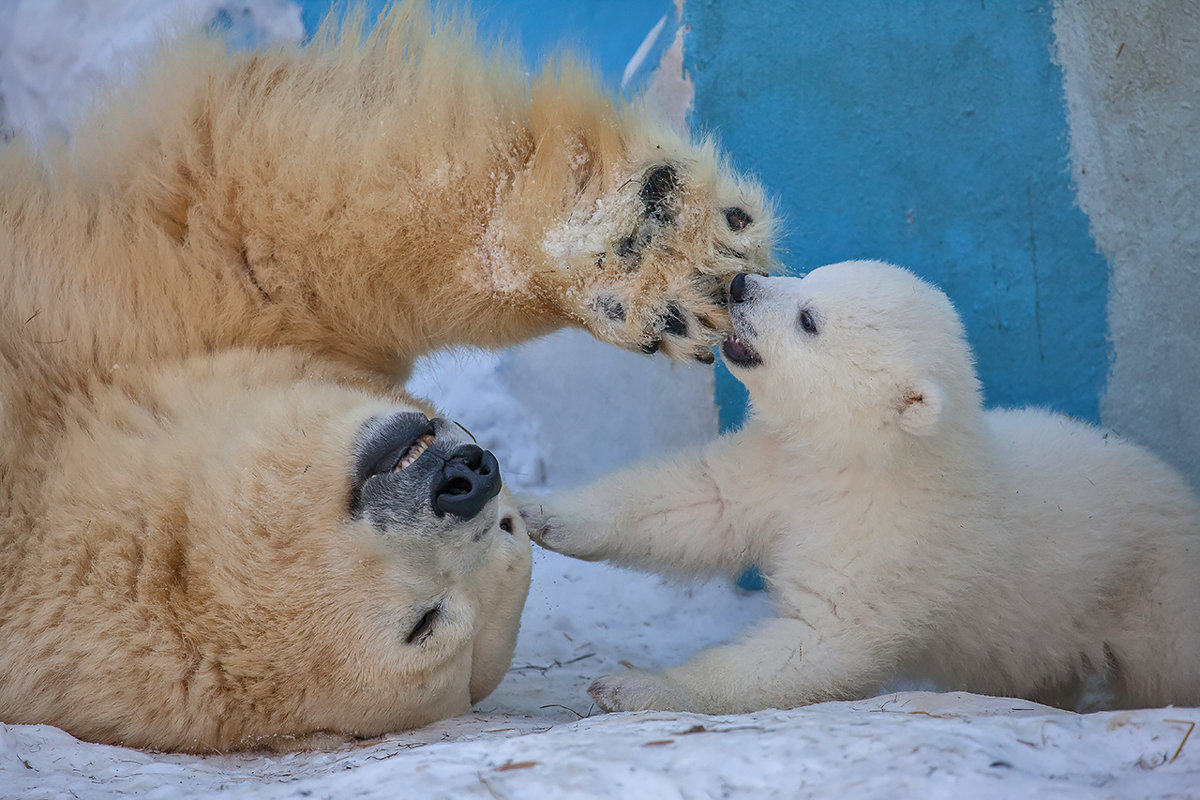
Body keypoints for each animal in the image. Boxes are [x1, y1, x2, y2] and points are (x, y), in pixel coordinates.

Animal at [0, 1, 777, 753]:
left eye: (508, 525)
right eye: (425, 622)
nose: (469, 476)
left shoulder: (188, 310)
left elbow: (295, 211)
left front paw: (662, 257)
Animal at [532, 261, 1200, 714]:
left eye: (808, 319)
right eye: (807, 274)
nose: (741, 283)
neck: (866, 461)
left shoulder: (888, 544)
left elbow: (822, 638)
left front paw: (635, 684)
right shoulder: (780, 468)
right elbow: (700, 501)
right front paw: (541, 515)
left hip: (1152, 588)